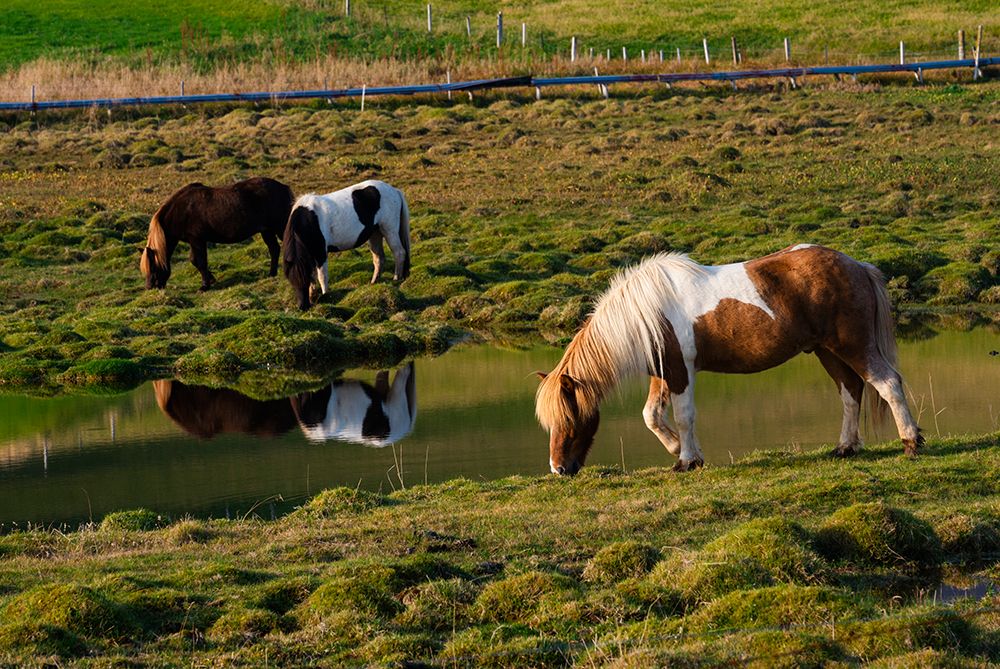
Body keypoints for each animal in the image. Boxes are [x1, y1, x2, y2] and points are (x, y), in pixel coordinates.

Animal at [140, 177, 295, 291]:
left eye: (152, 266)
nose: (150, 287)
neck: (182, 210)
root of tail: (283, 187)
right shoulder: (194, 241)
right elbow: (194, 261)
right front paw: (211, 279)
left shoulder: (197, 240)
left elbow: (200, 262)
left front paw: (204, 286)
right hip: (267, 231)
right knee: (274, 249)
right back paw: (272, 274)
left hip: (279, 228)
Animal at [282, 179, 411, 310]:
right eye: (291, 281)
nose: (303, 306)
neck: (308, 220)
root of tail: (394, 190)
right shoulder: (311, 254)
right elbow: (314, 276)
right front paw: (312, 295)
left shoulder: (321, 252)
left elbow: (322, 276)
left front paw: (325, 295)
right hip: (375, 233)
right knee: (379, 258)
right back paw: (374, 282)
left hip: (389, 230)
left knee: (399, 253)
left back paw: (396, 278)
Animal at [535, 244, 924, 476]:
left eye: (569, 419)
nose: (558, 469)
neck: (648, 313)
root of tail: (857, 265)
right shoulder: (663, 374)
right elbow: (652, 416)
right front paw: (679, 449)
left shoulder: (681, 371)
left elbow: (684, 416)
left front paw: (687, 460)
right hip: (827, 351)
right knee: (850, 391)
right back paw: (845, 447)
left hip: (853, 345)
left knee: (887, 383)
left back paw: (910, 443)